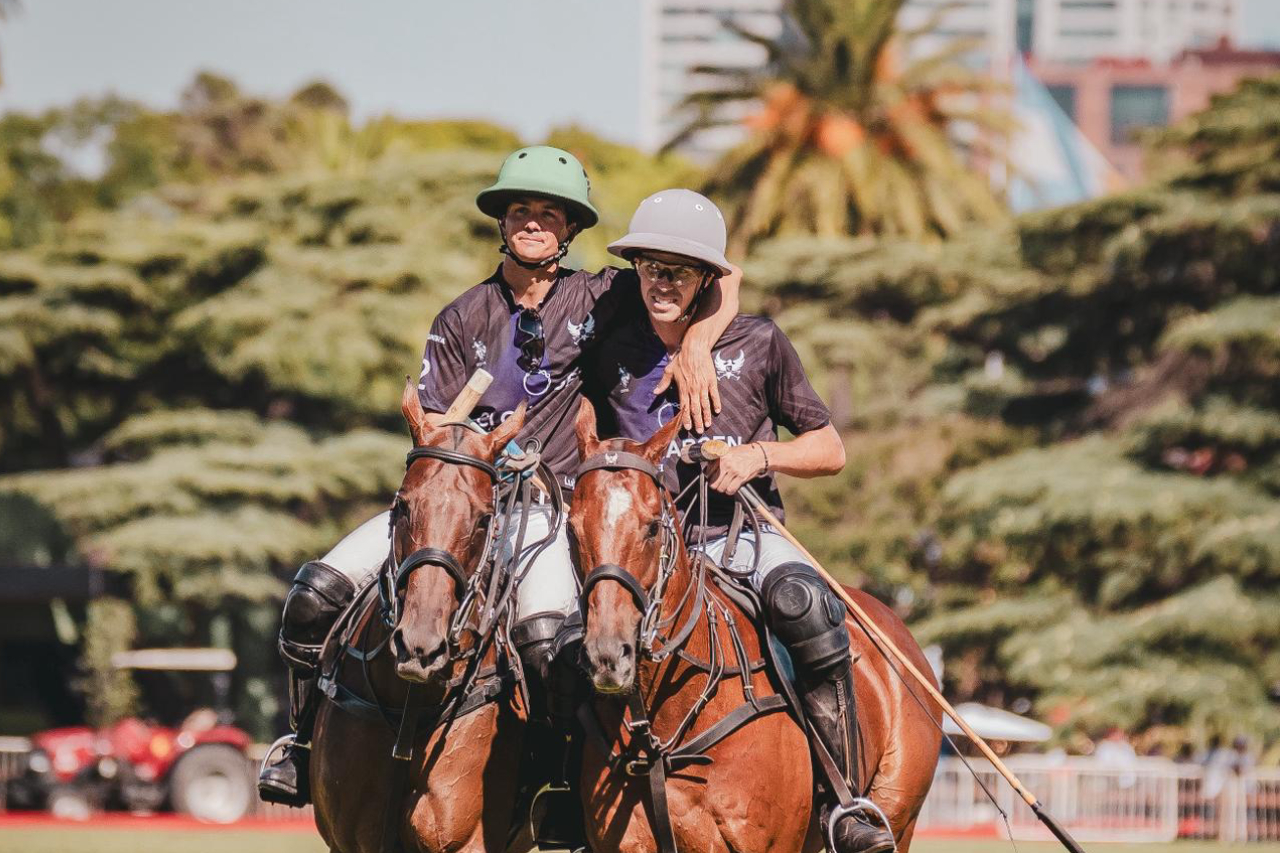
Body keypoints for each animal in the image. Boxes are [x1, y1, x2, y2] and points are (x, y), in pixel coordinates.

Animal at [308, 381, 535, 853]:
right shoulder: (347, 839)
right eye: (402, 505)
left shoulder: (465, 840)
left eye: (485, 519)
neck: (408, 705)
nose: (420, 648)